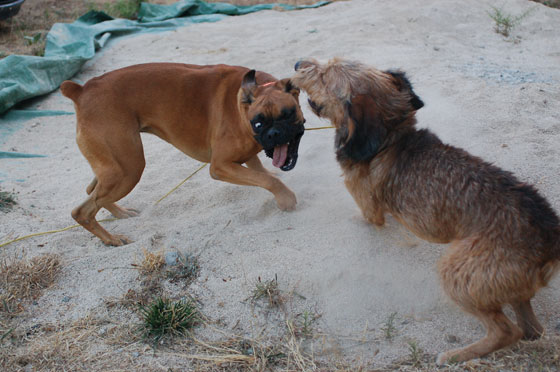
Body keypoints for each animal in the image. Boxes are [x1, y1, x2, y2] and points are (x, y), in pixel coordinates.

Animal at [61, 62, 306, 246]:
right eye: (258, 123)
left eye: (288, 114)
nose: (274, 134)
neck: (243, 106)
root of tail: (82, 90)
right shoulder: (220, 166)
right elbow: (267, 180)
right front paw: (285, 198)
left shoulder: (245, 156)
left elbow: (261, 171)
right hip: (129, 170)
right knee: (82, 211)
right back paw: (112, 239)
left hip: (115, 167)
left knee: (92, 190)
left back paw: (120, 213)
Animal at [294, 58, 560, 364]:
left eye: (325, 75)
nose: (297, 64)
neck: (389, 136)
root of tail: (549, 238)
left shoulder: (369, 210)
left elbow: (366, 220)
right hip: (509, 287)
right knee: (531, 329)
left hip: (456, 271)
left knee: (506, 331)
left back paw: (455, 355)